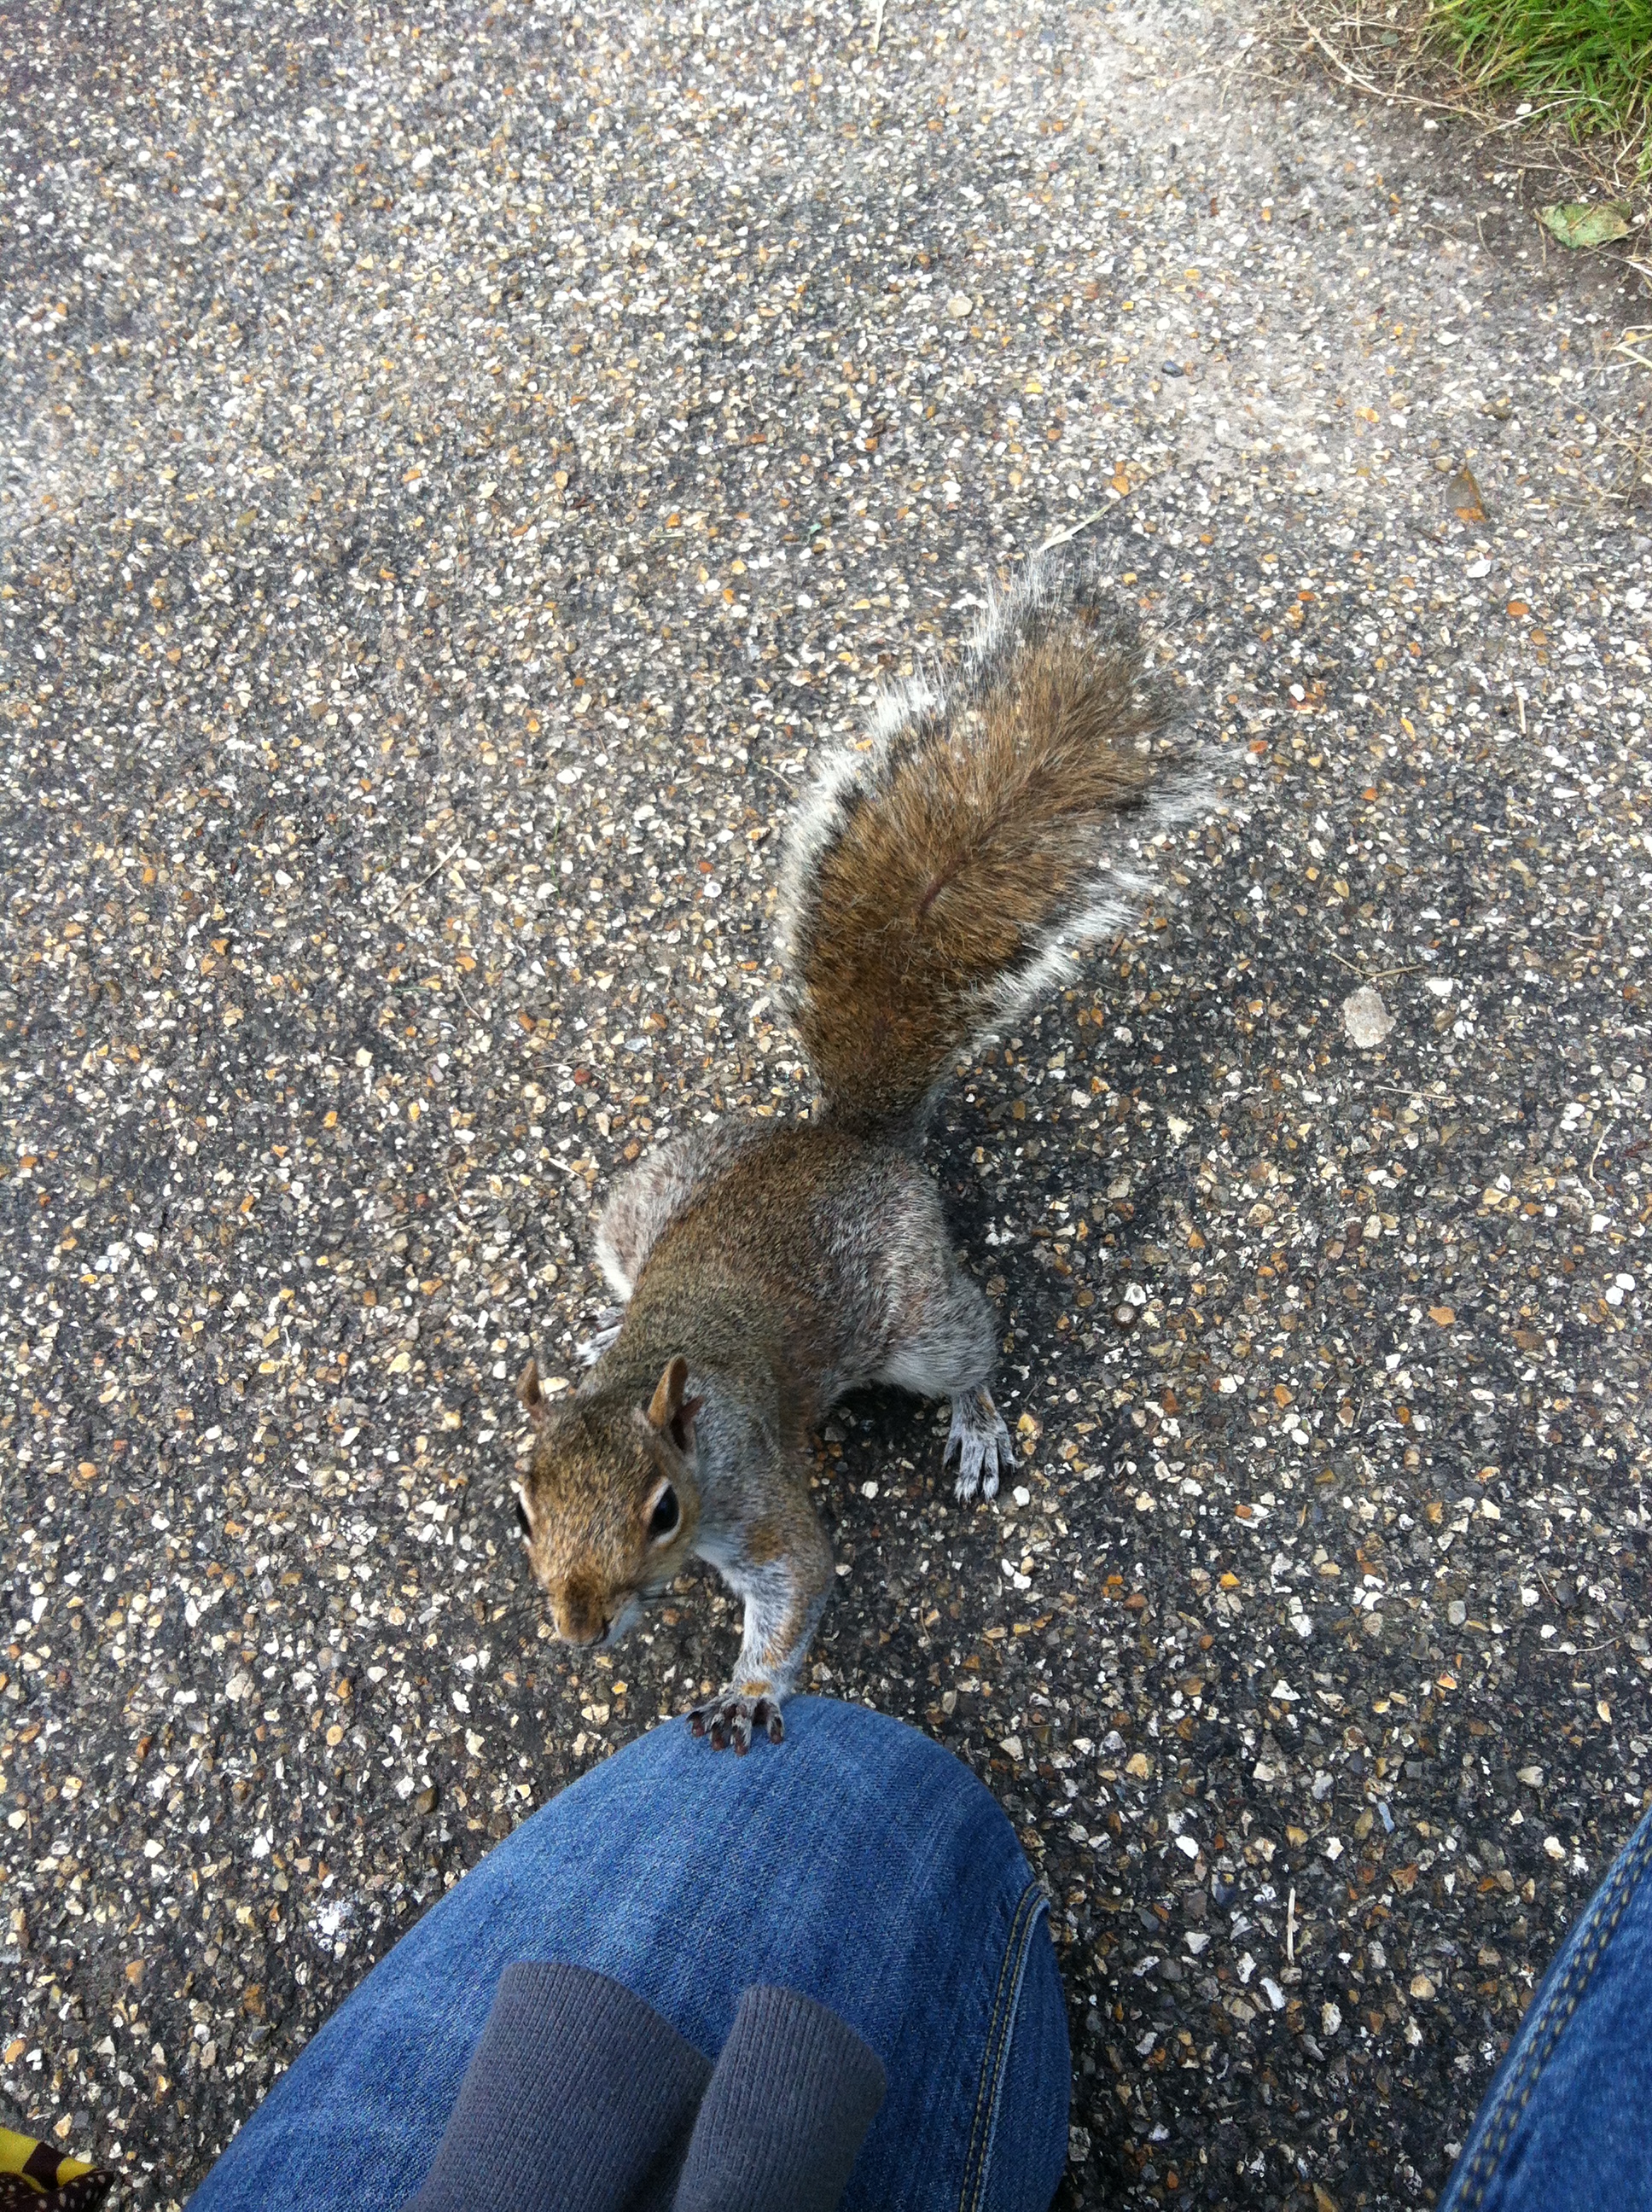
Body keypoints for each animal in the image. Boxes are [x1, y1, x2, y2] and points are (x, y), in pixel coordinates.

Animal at [513, 557, 1202, 1761]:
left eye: (663, 1510)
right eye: (519, 1509)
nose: (579, 1629)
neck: (659, 1394)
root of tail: (846, 1138)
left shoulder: (760, 1498)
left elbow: (798, 1585)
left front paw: (748, 1691)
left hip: (912, 1312)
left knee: (970, 1340)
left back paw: (975, 1425)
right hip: (643, 1202)